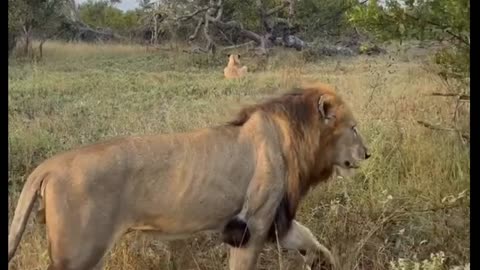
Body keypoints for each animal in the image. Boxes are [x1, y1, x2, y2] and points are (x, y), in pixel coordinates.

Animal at [9, 83, 372, 270]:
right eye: (354, 128)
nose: (367, 154)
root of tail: (49, 165)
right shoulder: (252, 225)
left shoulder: (275, 219)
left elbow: (309, 238)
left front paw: (327, 262)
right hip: (79, 252)